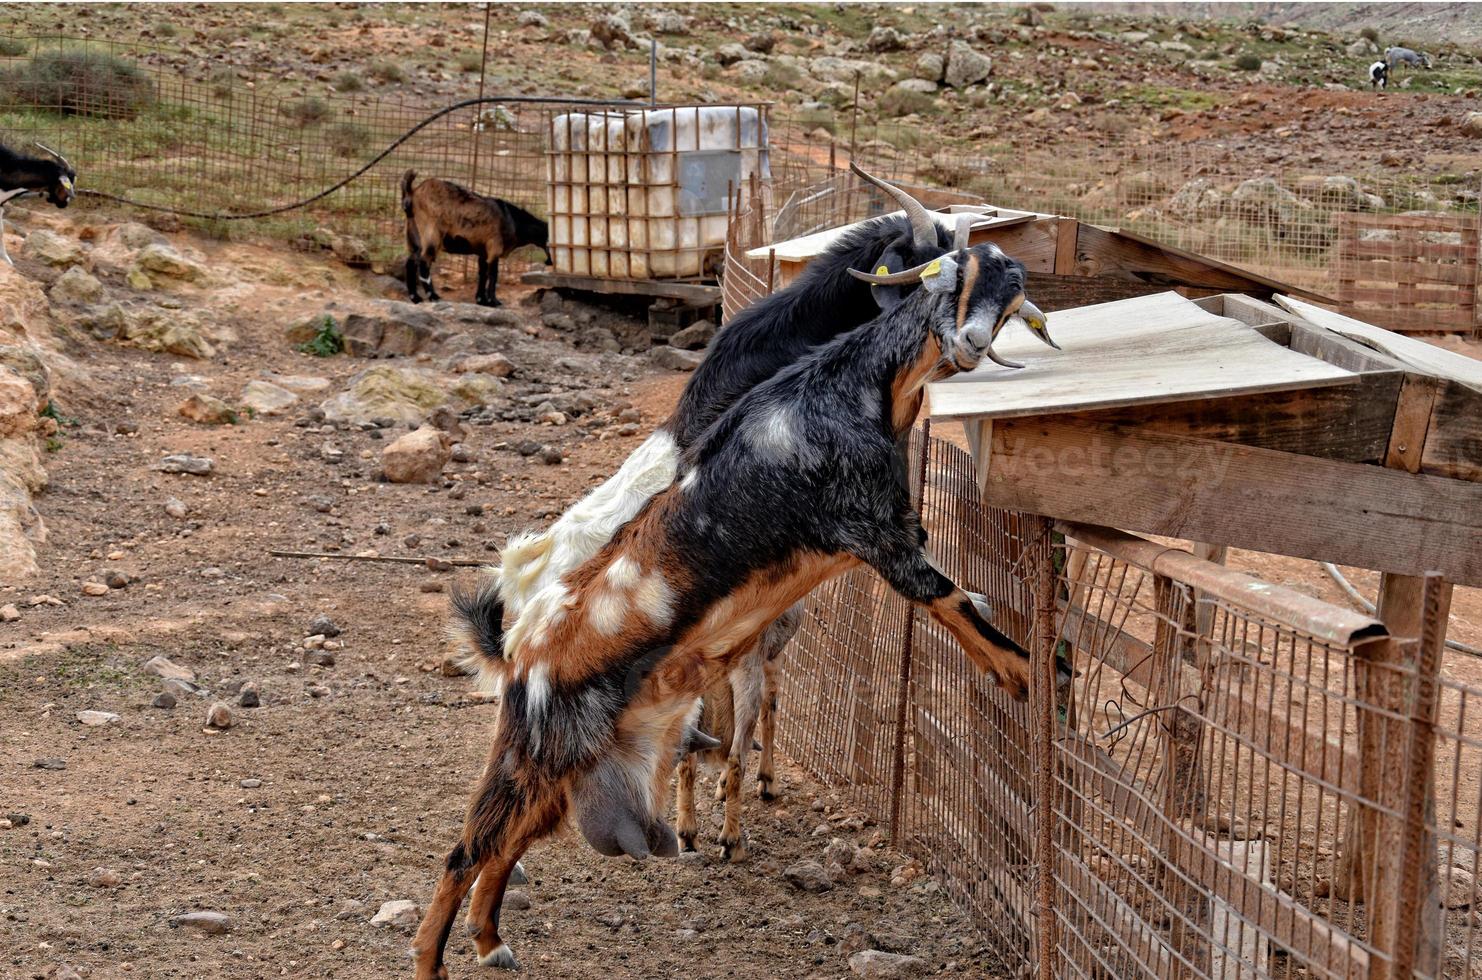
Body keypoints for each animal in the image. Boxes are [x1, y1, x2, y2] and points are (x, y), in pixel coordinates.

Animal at [411, 238, 1072, 978]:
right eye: (955, 276)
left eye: (1010, 283)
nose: (969, 342)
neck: (854, 390)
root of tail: (522, 650)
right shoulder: (874, 533)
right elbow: (954, 603)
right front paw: (1034, 677)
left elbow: (959, 603)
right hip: (536, 749)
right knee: (467, 851)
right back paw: (434, 963)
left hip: (562, 767)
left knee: (503, 846)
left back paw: (490, 942)